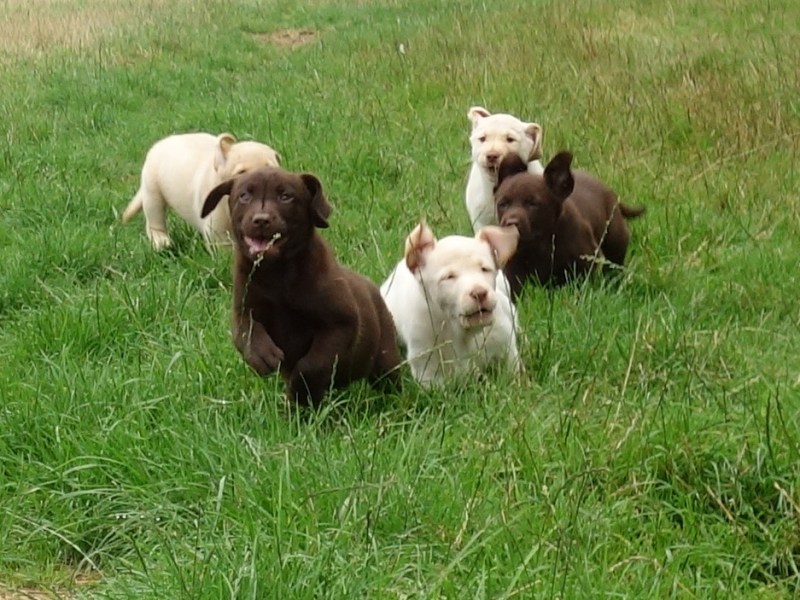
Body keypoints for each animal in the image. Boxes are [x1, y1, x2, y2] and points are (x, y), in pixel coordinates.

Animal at [123, 132, 281, 251]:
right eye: (241, 172)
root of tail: (159, 144)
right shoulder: (216, 226)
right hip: (152, 189)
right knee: (154, 219)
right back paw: (162, 243)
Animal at [200, 165, 400, 407]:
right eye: (244, 196)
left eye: (286, 196)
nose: (261, 220)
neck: (277, 273)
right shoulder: (243, 311)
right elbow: (248, 333)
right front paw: (262, 357)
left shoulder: (342, 322)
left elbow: (311, 365)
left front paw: (300, 392)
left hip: (385, 355)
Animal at [380, 221, 520, 386]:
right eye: (449, 277)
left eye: (485, 269)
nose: (479, 293)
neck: (463, 332)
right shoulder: (426, 364)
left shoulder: (505, 344)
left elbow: (513, 373)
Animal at [494, 151, 645, 297]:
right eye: (502, 204)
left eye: (532, 204)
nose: (510, 222)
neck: (541, 242)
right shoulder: (513, 269)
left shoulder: (584, 264)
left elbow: (581, 288)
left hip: (615, 241)